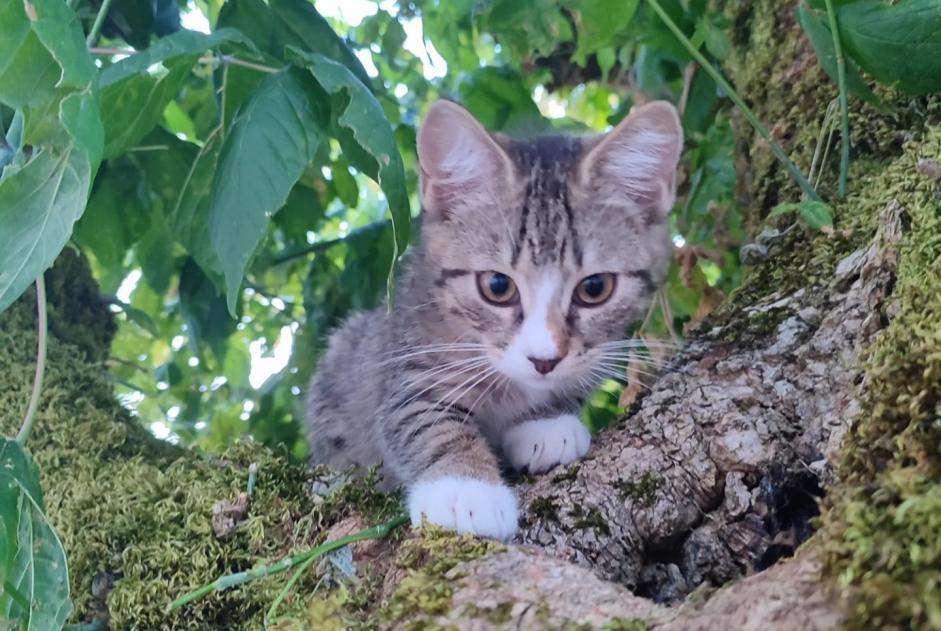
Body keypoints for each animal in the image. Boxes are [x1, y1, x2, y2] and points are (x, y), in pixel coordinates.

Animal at [308, 100, 684, 544]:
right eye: (497, 286)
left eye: (595, 288)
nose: (544, 360)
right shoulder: (408, 355)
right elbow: (420, 418)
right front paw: (464, 489)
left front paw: (545, 423)